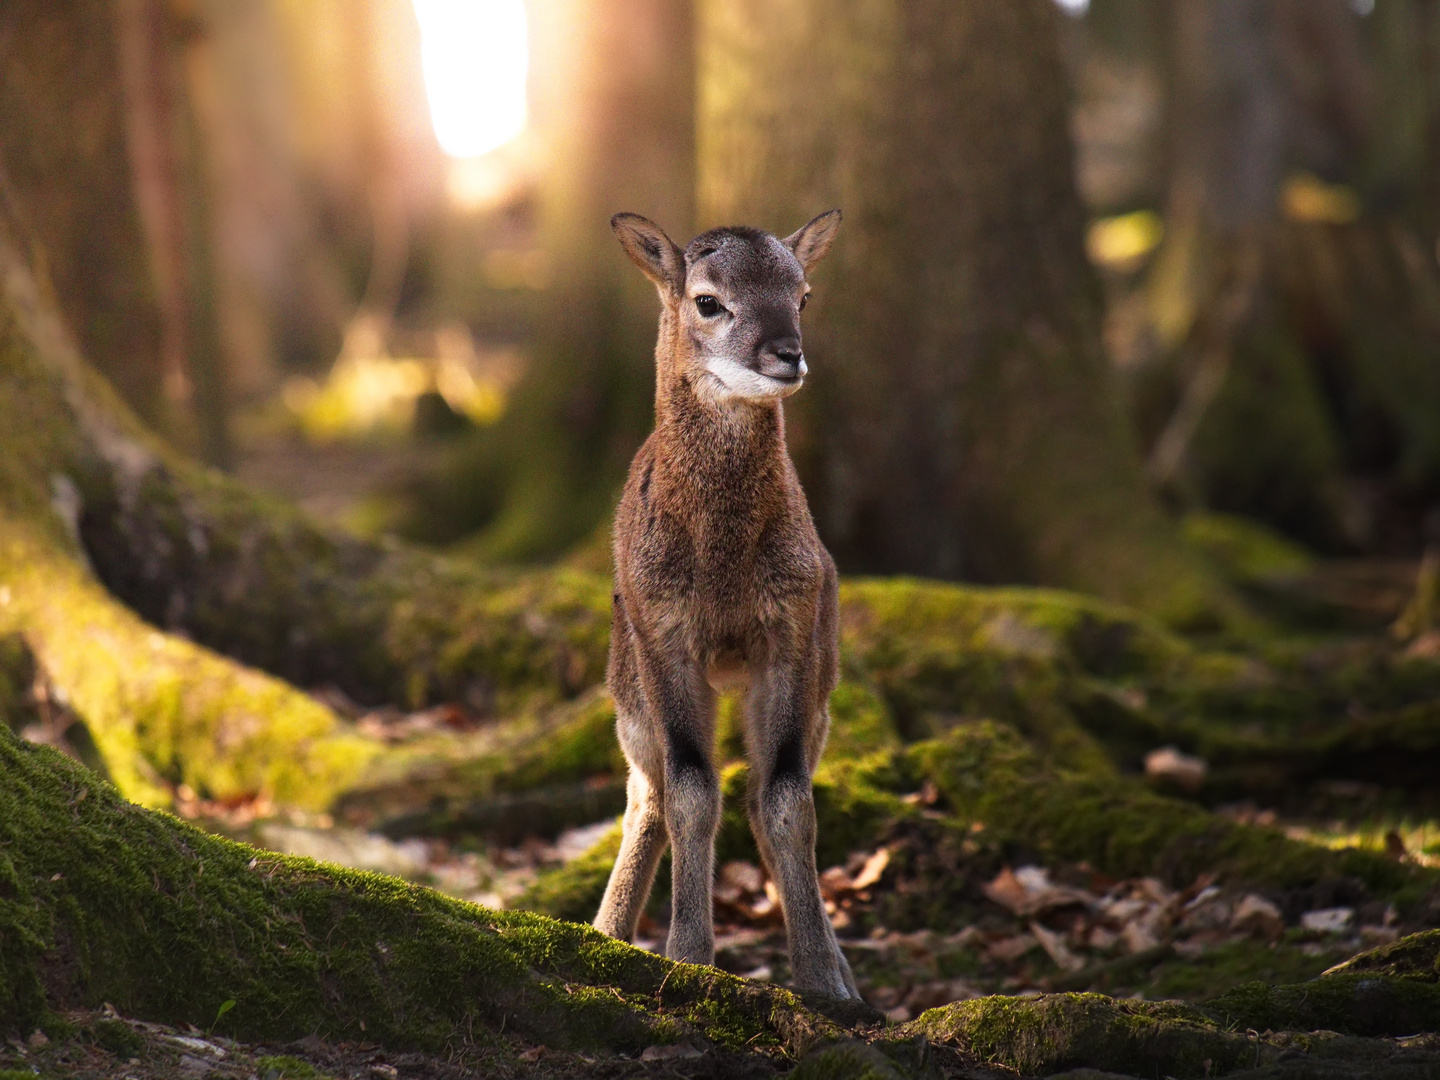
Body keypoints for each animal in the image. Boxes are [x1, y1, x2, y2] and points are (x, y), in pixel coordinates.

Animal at [593, 211, 858, 1008]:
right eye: (707, 301)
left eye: (803, 295)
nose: (787, 355)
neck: (723, 574)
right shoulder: (663, 634)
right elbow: (689, 791)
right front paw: (686, 957)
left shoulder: (791, 631)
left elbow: (786, 800)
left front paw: (824, 982)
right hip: (626, 685)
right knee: (646, 791)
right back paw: (604, 933)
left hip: (822, 682)